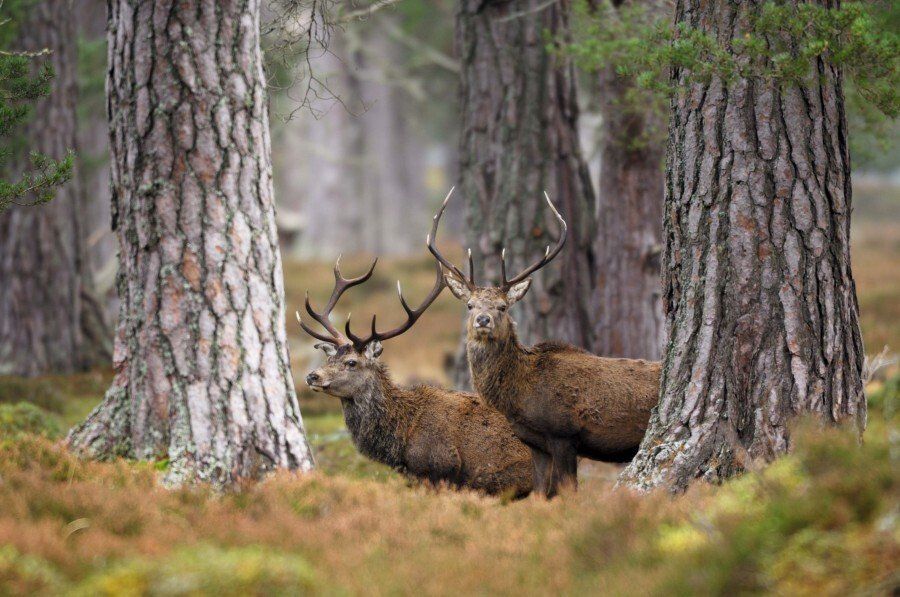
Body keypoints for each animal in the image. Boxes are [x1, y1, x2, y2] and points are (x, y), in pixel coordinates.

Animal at [427, 189, 661, 498]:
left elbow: (567, 491)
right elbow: (540, 492)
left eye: (503, 306)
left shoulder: (564, 434)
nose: (483, 320)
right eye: (469, 305)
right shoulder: (535, 443)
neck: (519, 398)